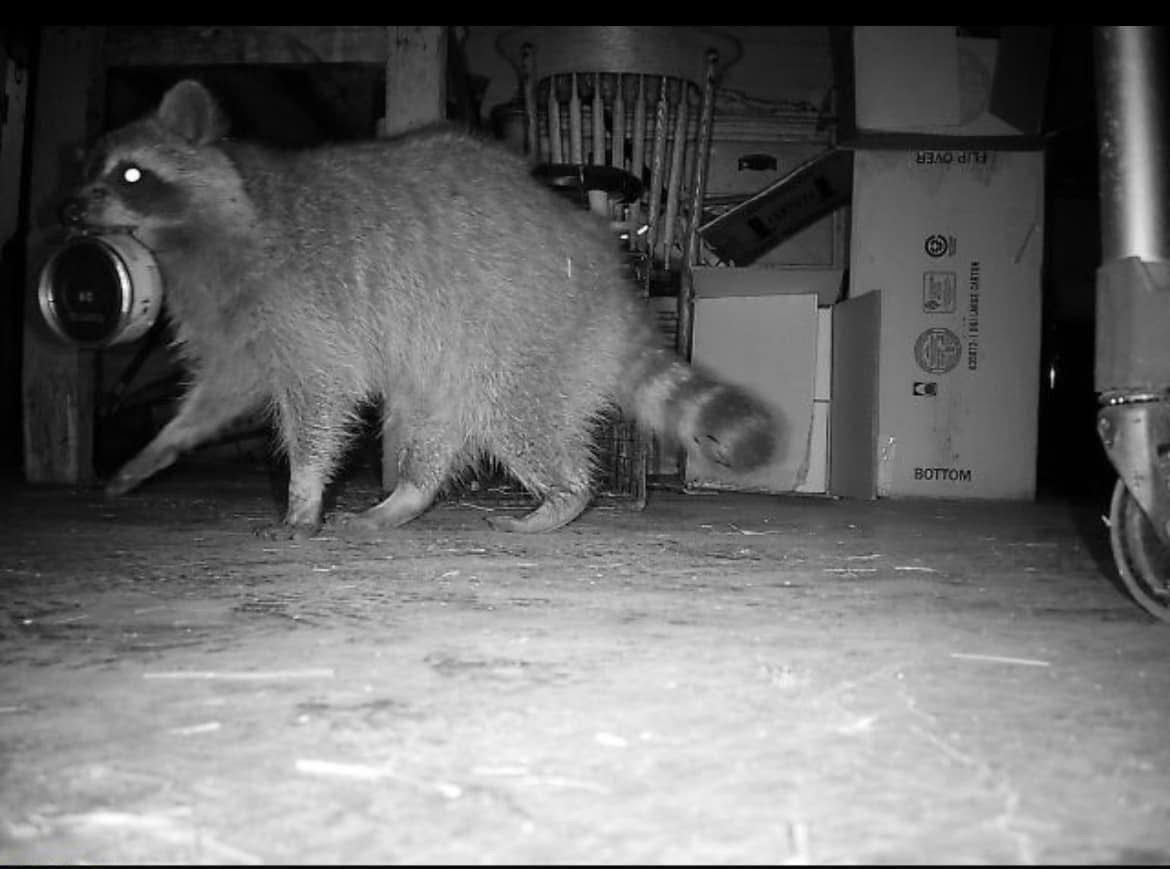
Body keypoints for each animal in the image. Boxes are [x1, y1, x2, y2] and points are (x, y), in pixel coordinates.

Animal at [61, 79, 781, 535]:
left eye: (131, 175)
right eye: (93, 170)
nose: (70, 211)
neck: (197, 234)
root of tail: (610, 276)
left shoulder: (298, 300)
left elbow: (322, 397)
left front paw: (303, 492)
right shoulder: (231, 321)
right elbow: (223, 390)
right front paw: (162, 444)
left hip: (522, 332)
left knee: (517, 419)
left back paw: (564, 496)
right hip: (455, 351)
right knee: (433, 419)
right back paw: (409, 494)